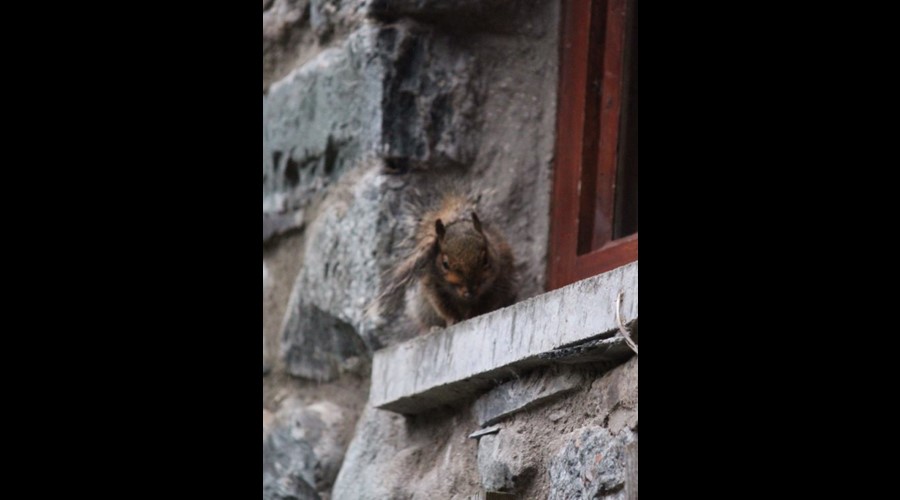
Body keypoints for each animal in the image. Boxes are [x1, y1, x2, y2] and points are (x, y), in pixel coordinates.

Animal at [370, 189, 512, 334]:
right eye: (445, 264)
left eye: (485, 260)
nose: (470, 291)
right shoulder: (432, 285)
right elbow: (443, 307)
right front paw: (453, 320)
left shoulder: (500, 281)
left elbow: (486, 303)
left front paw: (474, 313)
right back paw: (433, 328)